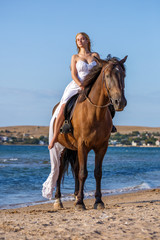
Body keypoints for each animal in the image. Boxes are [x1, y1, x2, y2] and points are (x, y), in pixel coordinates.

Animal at [53, 56, 127, 210]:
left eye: (123, 75)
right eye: (107, 75)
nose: (120, 102)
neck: (95, 114)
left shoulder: (101, 147)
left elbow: (97, 173)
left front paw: (98, 201)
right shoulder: (83, 146)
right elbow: (83, 173)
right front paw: (80, 203)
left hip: (74, 149)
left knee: (75, 168)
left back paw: (75, 196)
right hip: (62, 148)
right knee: (60, 170)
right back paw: (58, 201)